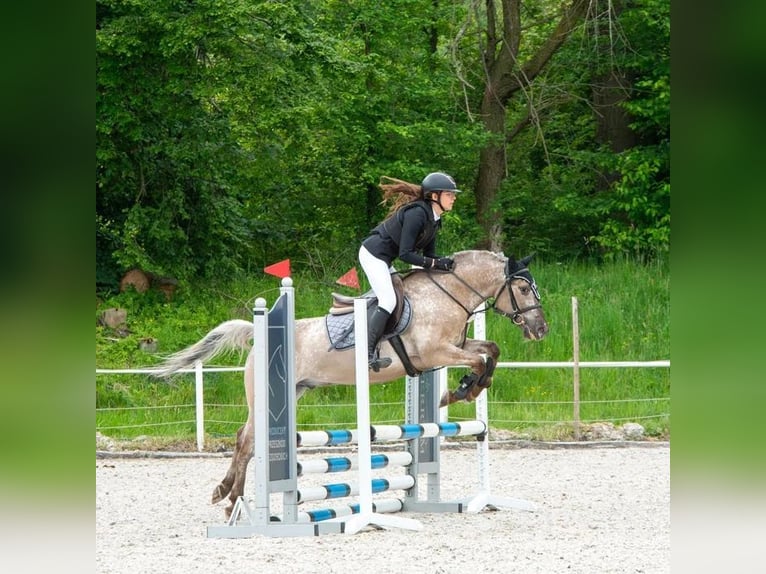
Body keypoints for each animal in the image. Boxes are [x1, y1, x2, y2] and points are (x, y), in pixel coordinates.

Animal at [159, 250, 548, 520]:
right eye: (523, 288)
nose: (540, 329)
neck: (447, 294)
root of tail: (259, 331)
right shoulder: (433, 352)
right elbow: (480, 360)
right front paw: (462, 390)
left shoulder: (455, 346)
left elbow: (490, 351)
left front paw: (465, 388)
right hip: (265, 398)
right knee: (246, 440)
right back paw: (231, 501)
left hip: (295, 390)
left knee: (248, 439)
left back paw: (228, 495)